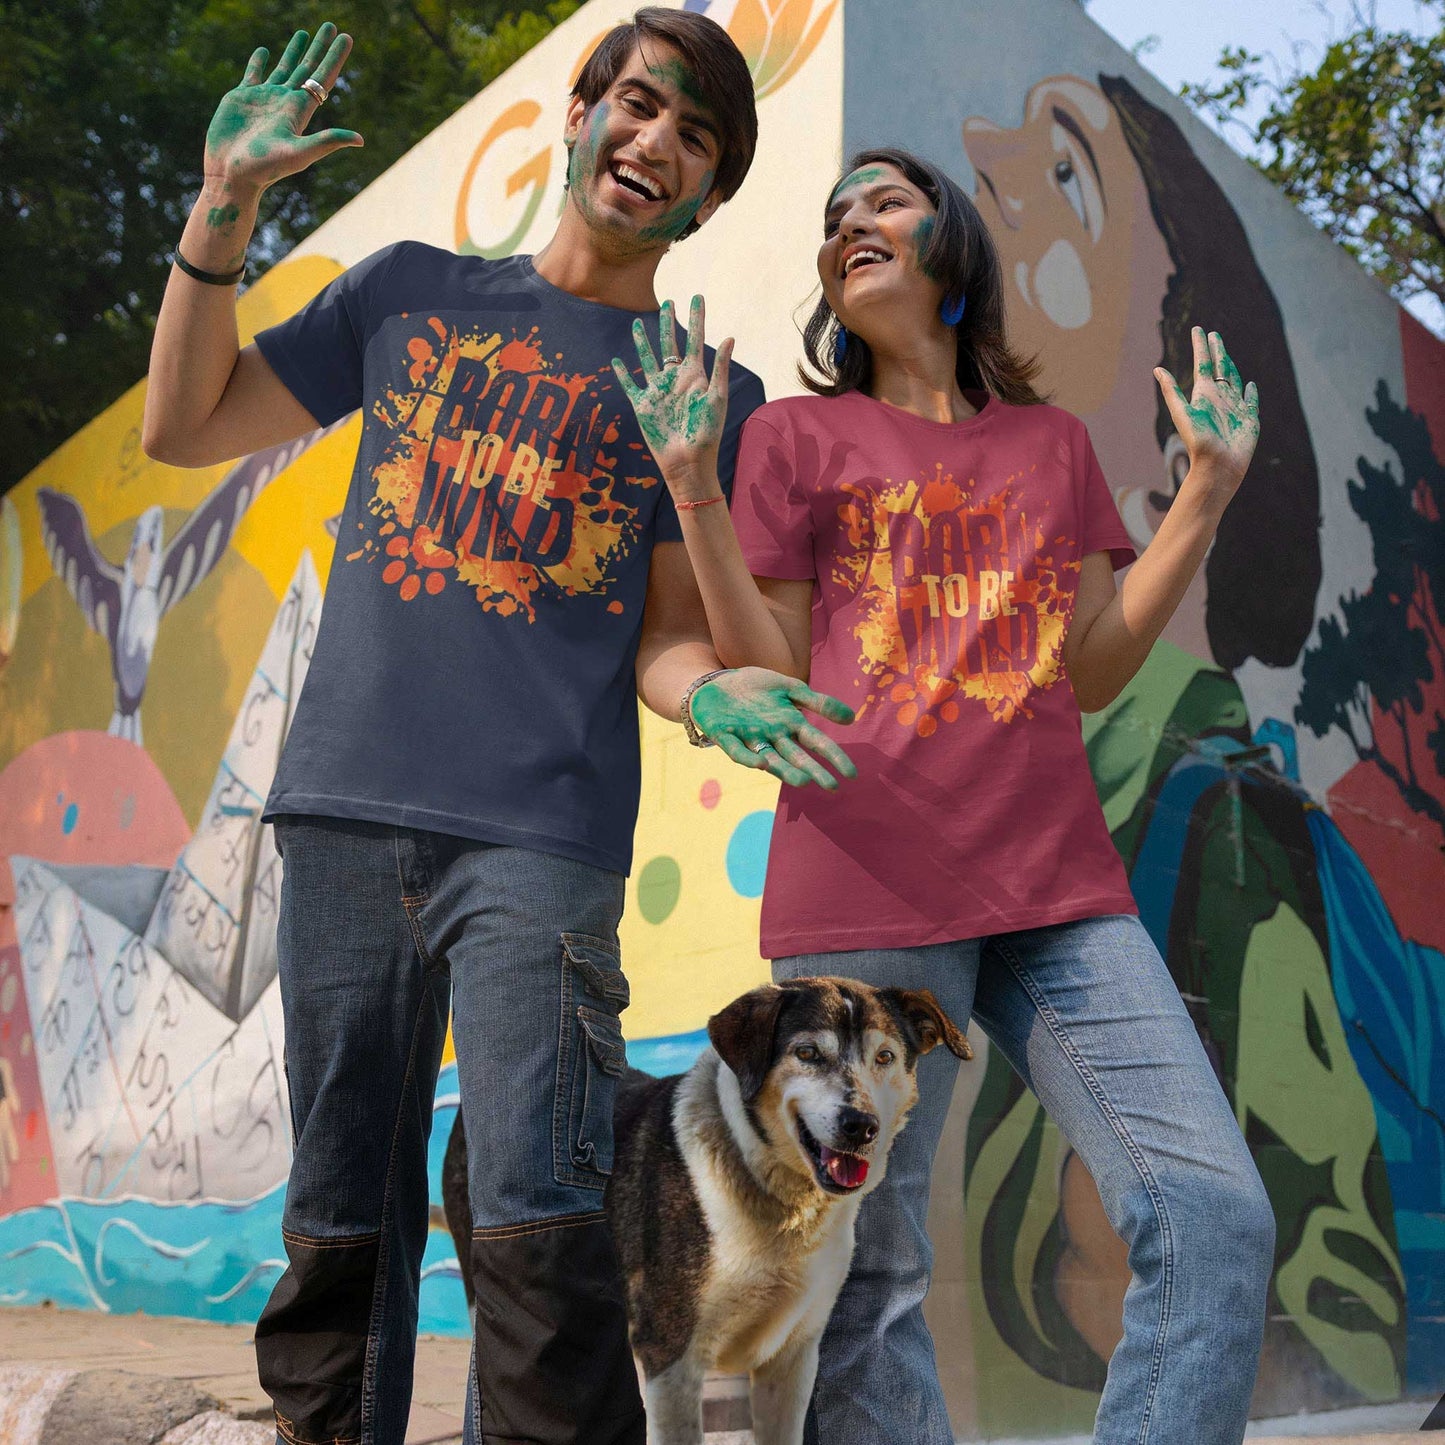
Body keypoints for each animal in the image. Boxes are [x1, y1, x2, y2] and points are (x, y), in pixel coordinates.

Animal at [433, 976, 965, 1439]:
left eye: (885, 1057)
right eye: (808, 1053)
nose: (861, 1126)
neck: (774, 1193)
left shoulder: (793, 1358)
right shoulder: (672, 1356)